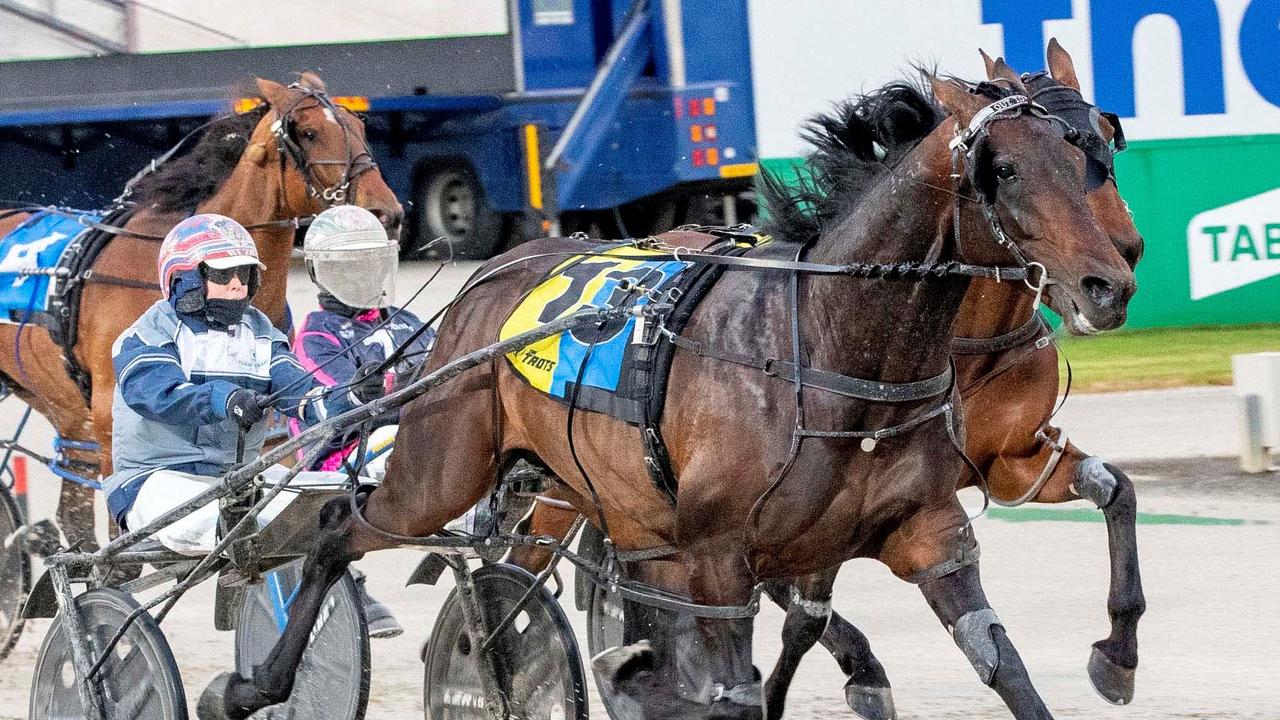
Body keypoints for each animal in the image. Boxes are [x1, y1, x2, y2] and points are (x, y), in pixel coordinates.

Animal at [0, 74, 401, 548]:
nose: (386, 212)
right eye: (308, 132)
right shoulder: (109, 426)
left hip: (64, 413)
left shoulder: (269, 422)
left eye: (359, 125)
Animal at [197, 61, 1131, 717]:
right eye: (1003, 169)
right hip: (442, 468)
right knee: (339, 532)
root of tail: (491, 275)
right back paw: (253, 680)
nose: (1112, 279)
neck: (831, 340)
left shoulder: (930, 531)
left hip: (613, 506)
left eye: (1095, 151)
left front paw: (1111, 658)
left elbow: (1003, 663)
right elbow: (737, 685)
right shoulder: (719, 558)